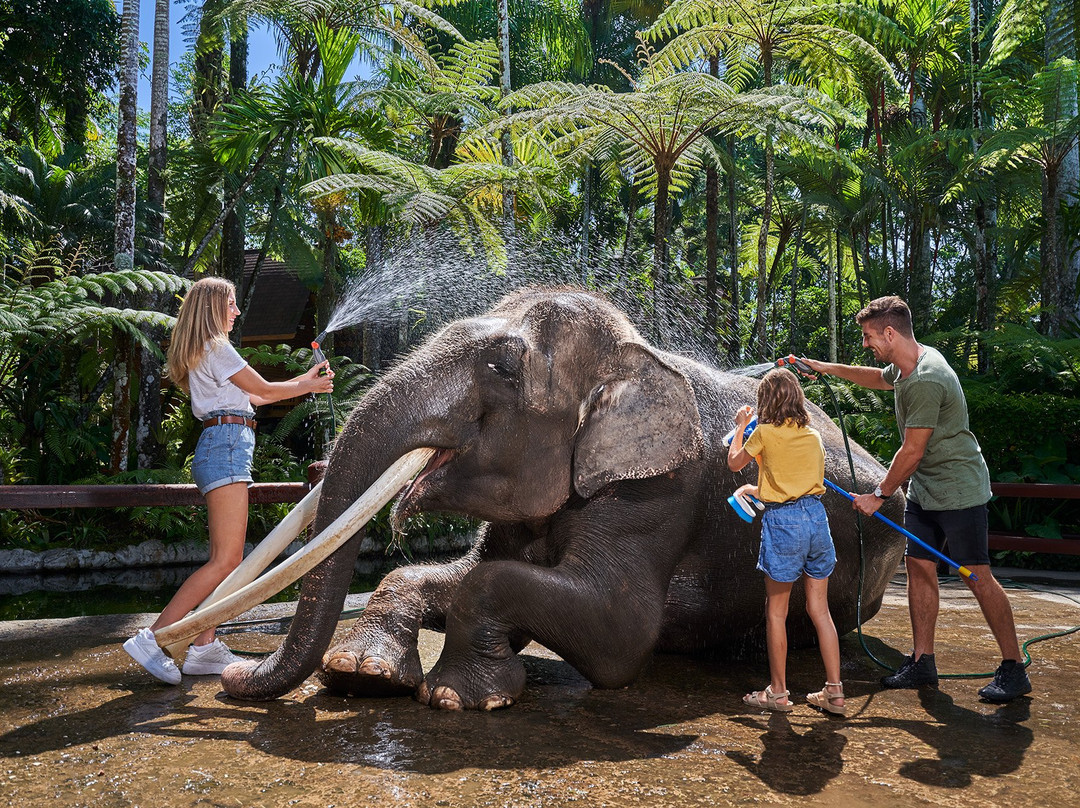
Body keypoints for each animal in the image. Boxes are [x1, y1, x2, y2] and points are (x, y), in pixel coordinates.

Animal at [221, 288, 905, 709]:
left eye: (502, 367)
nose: (231, 672)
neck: (633, 351)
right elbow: (457, 571)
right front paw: (360, 674)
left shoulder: (657, 492)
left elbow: (619, 631)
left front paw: (453, 697)